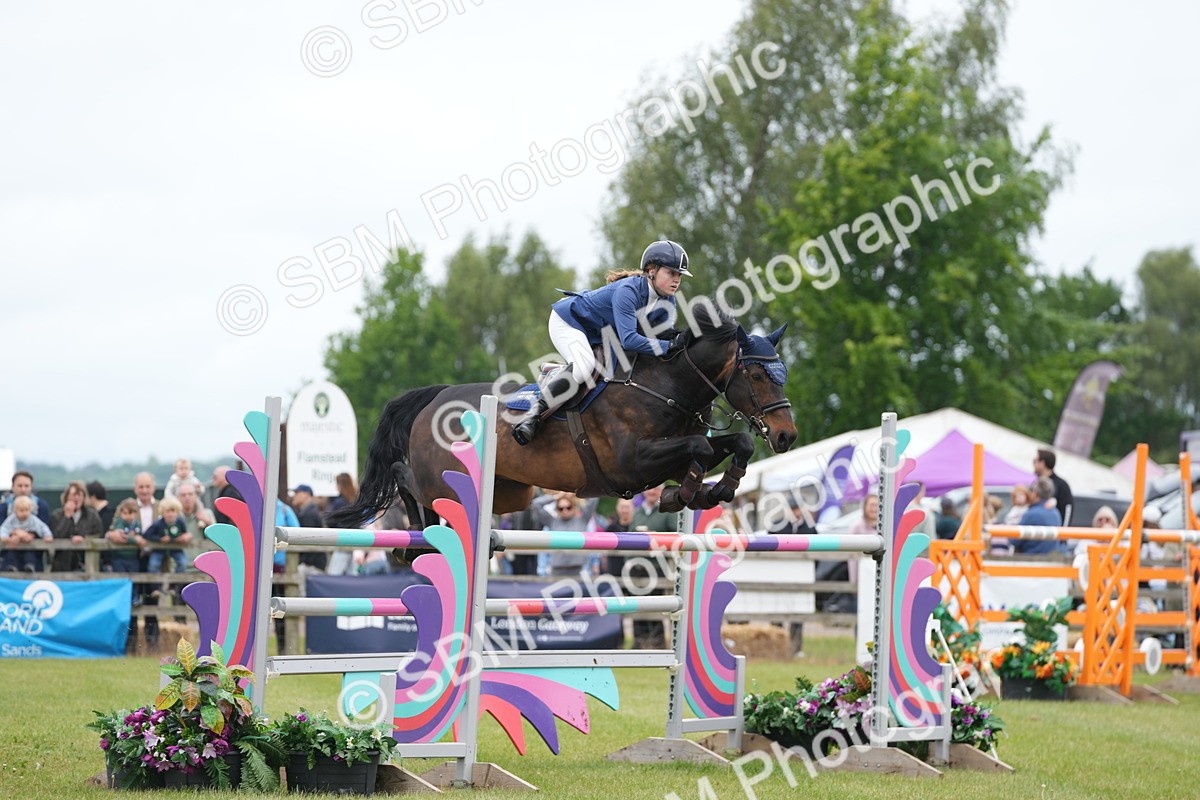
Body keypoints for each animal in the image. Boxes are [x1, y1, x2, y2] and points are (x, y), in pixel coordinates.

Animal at [328, 307, 797, 530]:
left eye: (784, 372)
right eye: (757, 374)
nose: (787, 436)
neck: (667, 384)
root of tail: (436, 395)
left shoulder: (666, 457)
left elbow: (734, 444)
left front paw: (714, 490)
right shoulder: (631, 462)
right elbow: (699, 446)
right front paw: (681, 495)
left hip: (509, 495)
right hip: (439, 478)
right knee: (404, 478)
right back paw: (415, 533)